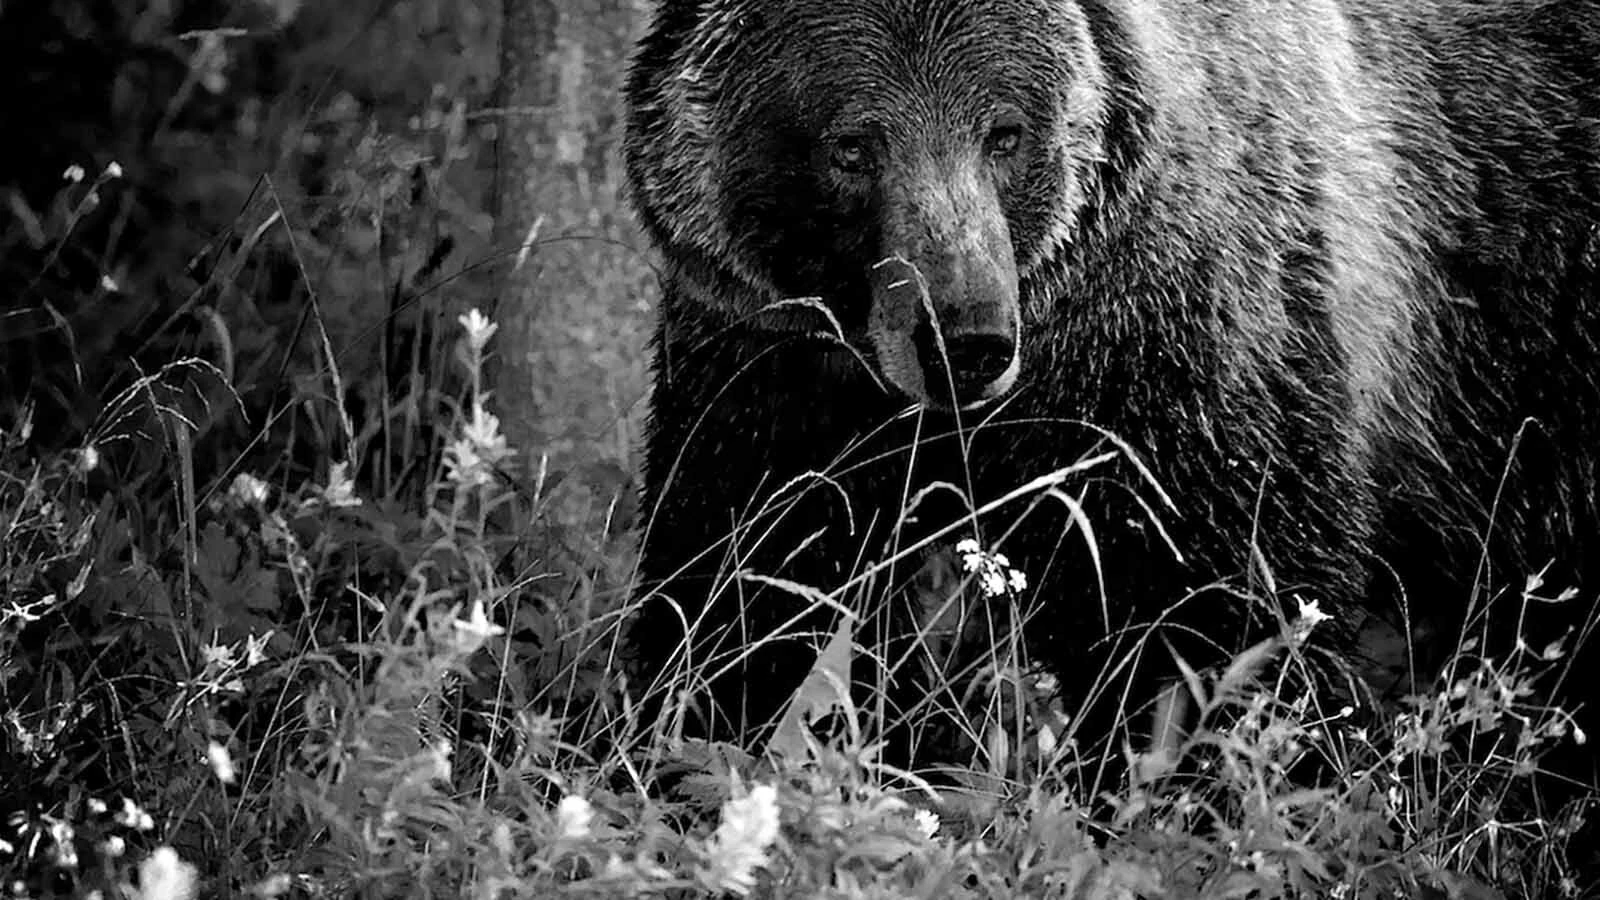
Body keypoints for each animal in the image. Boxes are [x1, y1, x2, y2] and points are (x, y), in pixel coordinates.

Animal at [619, 0, 1600, 783]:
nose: (966, 340)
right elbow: (749, 581)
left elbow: (1219, 611)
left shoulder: (1189, 346)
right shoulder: (771, 369)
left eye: (1006, 132)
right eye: (851, 145)